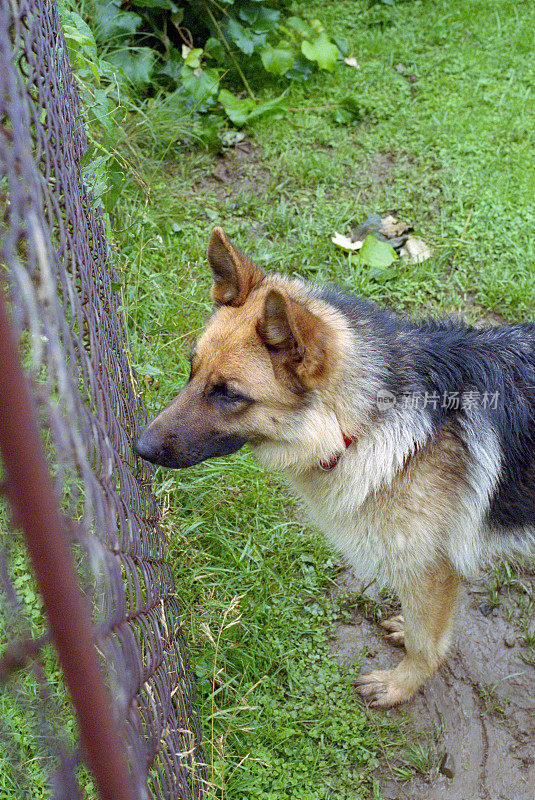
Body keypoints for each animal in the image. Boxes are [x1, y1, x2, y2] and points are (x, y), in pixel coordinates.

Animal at [135, 228, 535, 708]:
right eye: (192, 370)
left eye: (229, 394)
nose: (138, 447)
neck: (362, 423)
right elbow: (423, 627)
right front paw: (407, 635)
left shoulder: (430, 569)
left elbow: (427, 644)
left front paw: (401, 685)